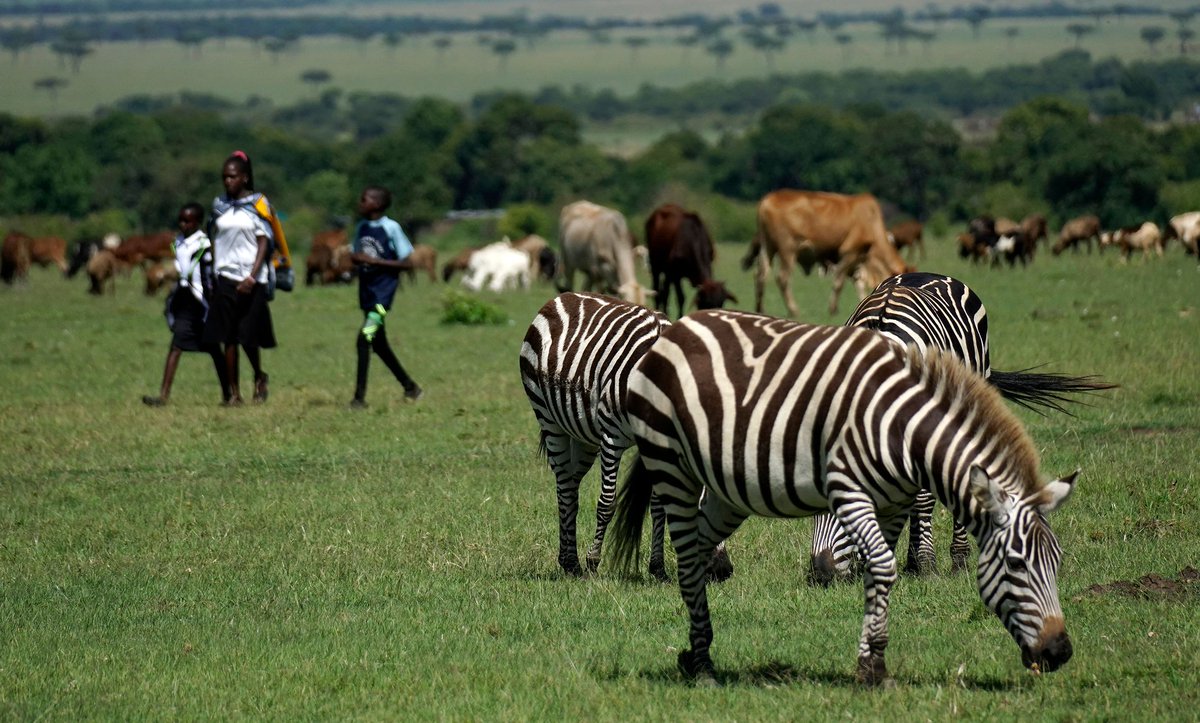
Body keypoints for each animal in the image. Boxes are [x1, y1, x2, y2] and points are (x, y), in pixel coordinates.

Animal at [609, 309, 1080, 682]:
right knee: (687, 551)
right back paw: (704, 667)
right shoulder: (851, 493)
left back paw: (695, 653)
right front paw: (871, 669)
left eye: (1056, 562)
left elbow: (879, 569)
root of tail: (677, 327)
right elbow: (883, 565)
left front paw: (873, 661)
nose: (1059, 652)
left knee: (699, 549)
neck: (901, 431)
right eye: (1016, 564)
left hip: (726, 491)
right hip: (672, 466)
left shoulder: (894, 505)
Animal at [739, 188, 907, 314]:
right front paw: (833, 309)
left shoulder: (857, 261)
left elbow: (858, 283)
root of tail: (767, 199)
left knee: (760, 275)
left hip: (767, 247)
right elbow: (839, 282)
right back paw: (793, 309)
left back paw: (760, 308)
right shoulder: (849, 253)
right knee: (782, 278)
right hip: (787, 249)